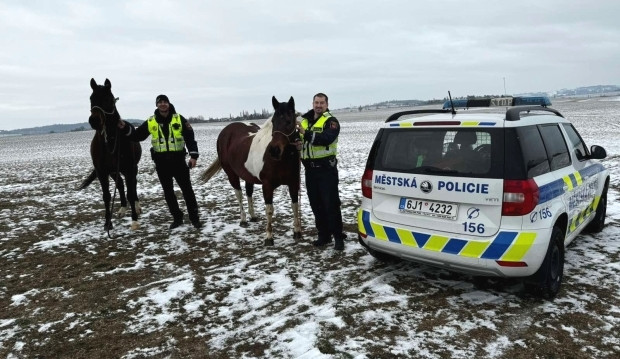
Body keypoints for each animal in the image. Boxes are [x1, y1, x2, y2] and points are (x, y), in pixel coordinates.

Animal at [78, 78, 142, 231]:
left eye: (107, 98)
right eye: (91, 98)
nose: (94, 120)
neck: (111, 141)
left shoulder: (129, 169)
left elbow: (131, 192)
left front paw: (134, 221)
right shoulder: (102, 172)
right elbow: (106, 196)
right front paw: (108, 223)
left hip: (132, 169)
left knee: (133, 186)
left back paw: (136, 208)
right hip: (114, 171)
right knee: (120, 184)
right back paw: (122, 209)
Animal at [202, 96, 302, 248]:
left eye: (289, 121)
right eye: (273, 121)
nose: (274, 150)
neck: (282, 159)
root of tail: (226, 131)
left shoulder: (294, 183)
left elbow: (294, 206)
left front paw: (297, 232)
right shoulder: (267, 186)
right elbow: (269, 210)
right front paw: (269, 237)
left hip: (248, 175)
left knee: (248, 192)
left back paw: (253, 216)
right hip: (232, 175)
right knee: (239, 195)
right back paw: (243, 219)